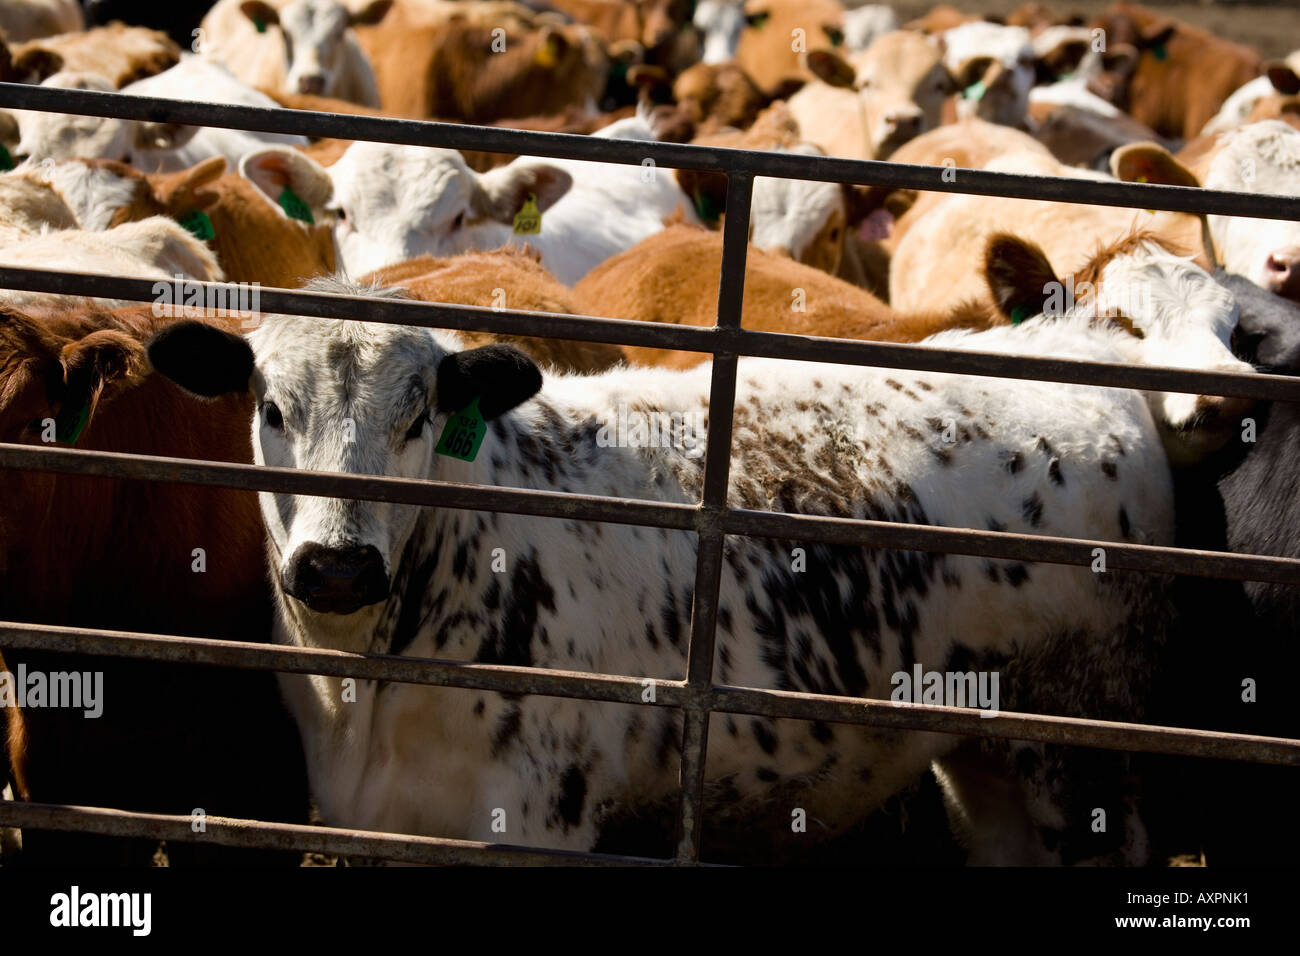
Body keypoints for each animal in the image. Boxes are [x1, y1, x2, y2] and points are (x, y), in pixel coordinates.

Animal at [145, 228, 1254, 861]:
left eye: (420, 416)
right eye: (270, 407)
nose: (337, 564)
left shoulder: (539, 817)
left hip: (1084, 739)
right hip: (986, 756)